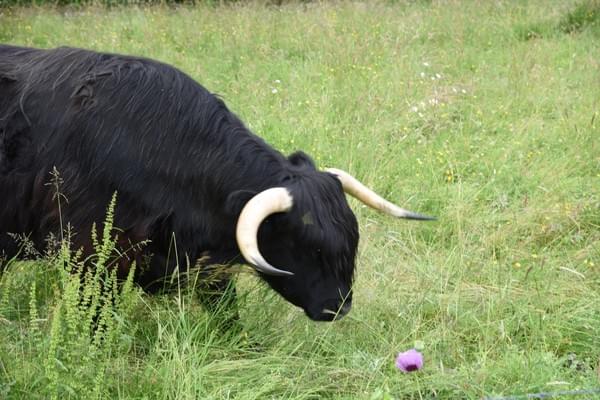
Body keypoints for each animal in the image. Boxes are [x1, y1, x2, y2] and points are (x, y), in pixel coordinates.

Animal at [0, 46, 432, 322]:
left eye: (352, 242)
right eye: (310, 246)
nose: (338, 308)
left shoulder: (204, 267)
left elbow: (229, 317)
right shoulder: (90, 258)